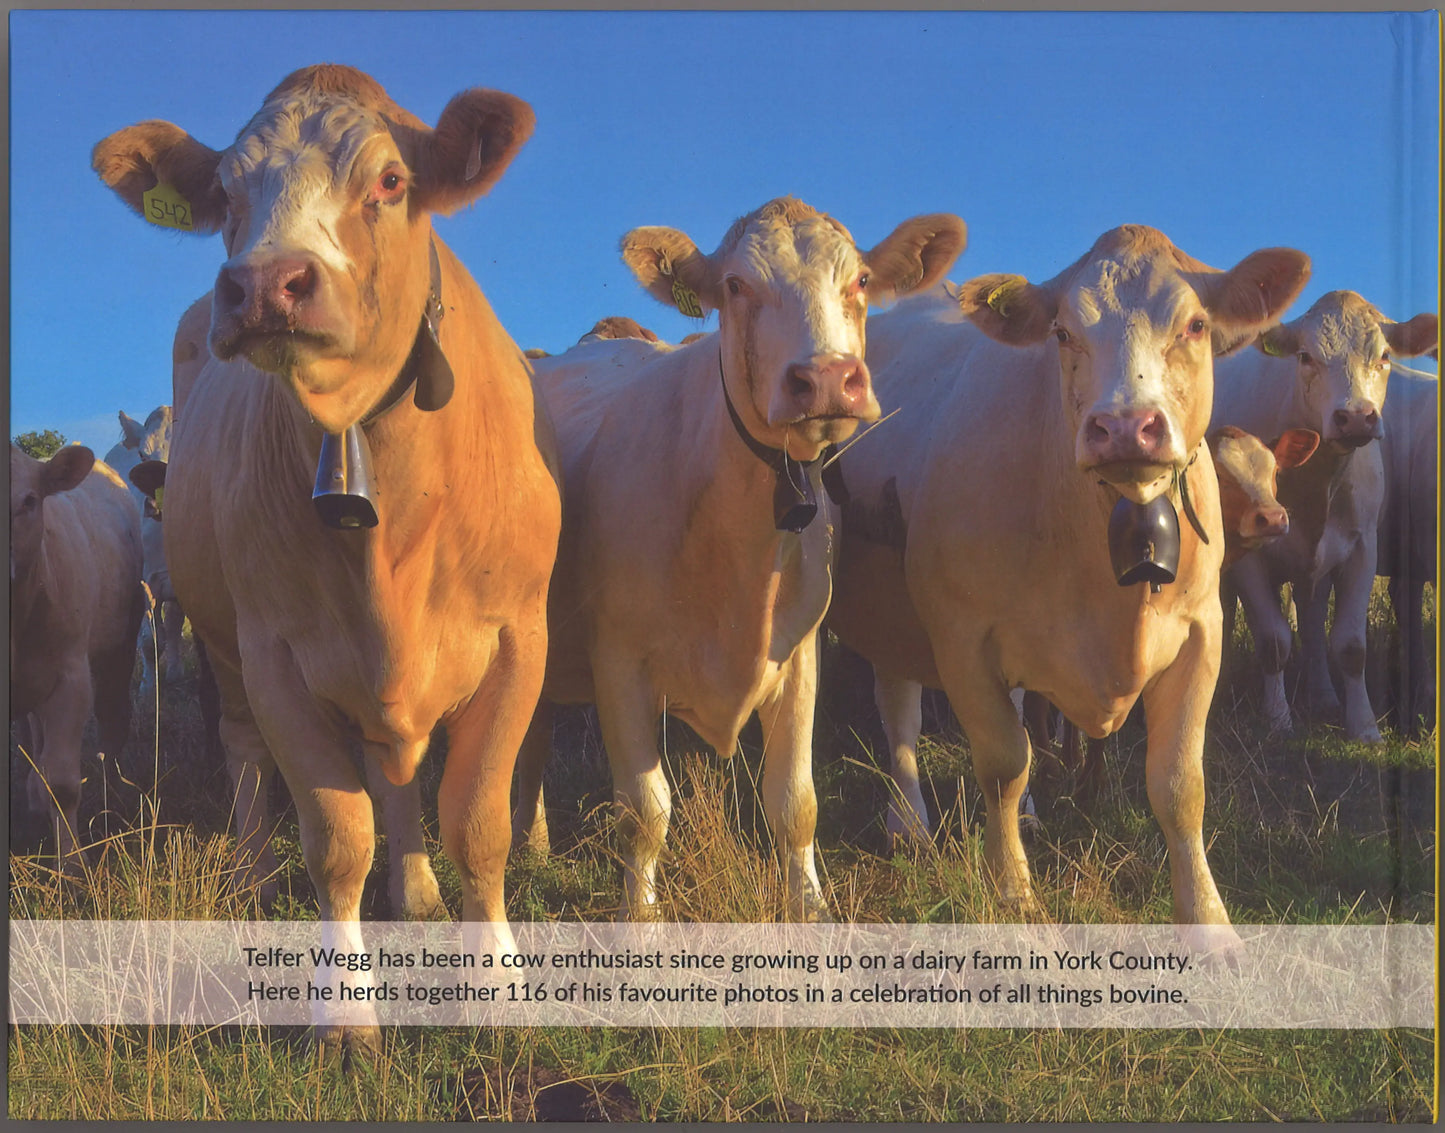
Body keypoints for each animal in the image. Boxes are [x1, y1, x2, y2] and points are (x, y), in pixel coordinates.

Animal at [10, 444, 143, 862]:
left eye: (29, 501)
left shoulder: (71, 679)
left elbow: (64, 785)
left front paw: (72, 863)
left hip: (120, 645)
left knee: (114, 719)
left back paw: (113, 794)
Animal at [511, 198, 967, 920]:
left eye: (862, 279)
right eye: (734, 285)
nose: (827, 378)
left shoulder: (801, 651)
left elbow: (795, 803)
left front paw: (810, 906)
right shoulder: (618, 662)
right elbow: (644, 812)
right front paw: (641, 918)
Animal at [829, 226, 1310, 949]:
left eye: (1195, 324)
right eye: (1061, 332)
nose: (1125, 427)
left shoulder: (1202, 633)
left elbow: (1180, 785)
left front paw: (1209, 922)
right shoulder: (961, 635)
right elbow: (1004, 763)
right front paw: (1013, 891)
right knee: (900, 715)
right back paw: (907, 821)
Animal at [1212, 293, 1437, 741]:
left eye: (1384, 355)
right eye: (1304, 356)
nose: (1356, 416)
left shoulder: (1361, 547)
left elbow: (1351, 645)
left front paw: (1364, 726)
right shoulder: (1249, 559)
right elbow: (1274, 640)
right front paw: (1278, 720)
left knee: (1314, 616)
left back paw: (1325, 696)